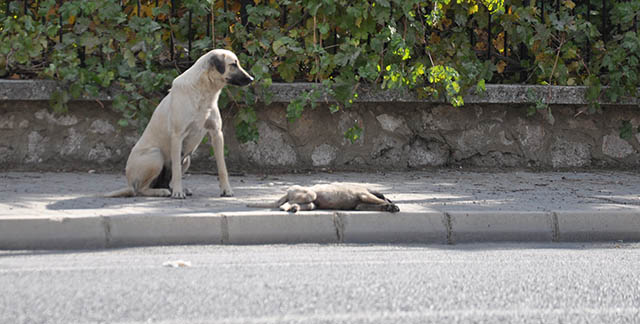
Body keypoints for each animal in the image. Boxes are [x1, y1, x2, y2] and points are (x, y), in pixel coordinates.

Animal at [105, 48, 252, 197]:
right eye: (233, 64)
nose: (251, 79)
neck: (204, 91)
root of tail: (129, 184)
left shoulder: (217, 134)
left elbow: (222, 168)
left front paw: (226, 189)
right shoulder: (177, 136)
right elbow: (176, 170)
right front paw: (177, 192)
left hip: (187, 159)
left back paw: (173, 189)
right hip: (156, 155)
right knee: (141, 189)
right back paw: (163, 191)